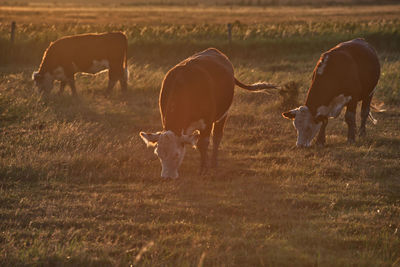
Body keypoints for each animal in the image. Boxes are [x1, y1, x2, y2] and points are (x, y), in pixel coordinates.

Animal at [139, 48, 276, 179]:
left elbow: (202, 144)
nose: (166, 177)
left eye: (176, 155)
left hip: (223, 114)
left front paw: (203, 169)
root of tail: (214, 50)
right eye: (158, 154)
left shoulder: (207, 122)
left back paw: (214, 162)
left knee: (217, 137)